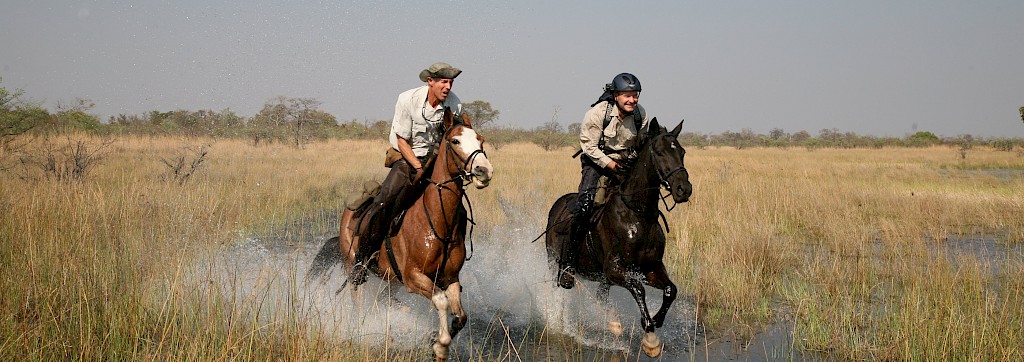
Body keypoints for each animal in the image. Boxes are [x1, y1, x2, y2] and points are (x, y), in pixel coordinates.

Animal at [305, 108, 493, 359]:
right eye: (455, 141)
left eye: (480, 139)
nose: (484, 171)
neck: (437, 220)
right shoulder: (413, 277)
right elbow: (441, 302)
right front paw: (440, 342)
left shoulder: (450, 278)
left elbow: (461, 317)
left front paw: (436, 344)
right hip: (353, 268)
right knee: (358, 299)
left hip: (391, 278)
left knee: (385, 298)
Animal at [544, 118, 688, 355]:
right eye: (659, 152)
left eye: (682, 152)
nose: (684, 189)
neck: (638, 216)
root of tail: (558, 205)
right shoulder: (615, 269)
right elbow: (638, 289)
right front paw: (650, 337)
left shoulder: (651, 267)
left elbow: (670, 290)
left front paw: (656, 321)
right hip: (555, 262)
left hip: (603, 278)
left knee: (602, 297)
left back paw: (613, 323)